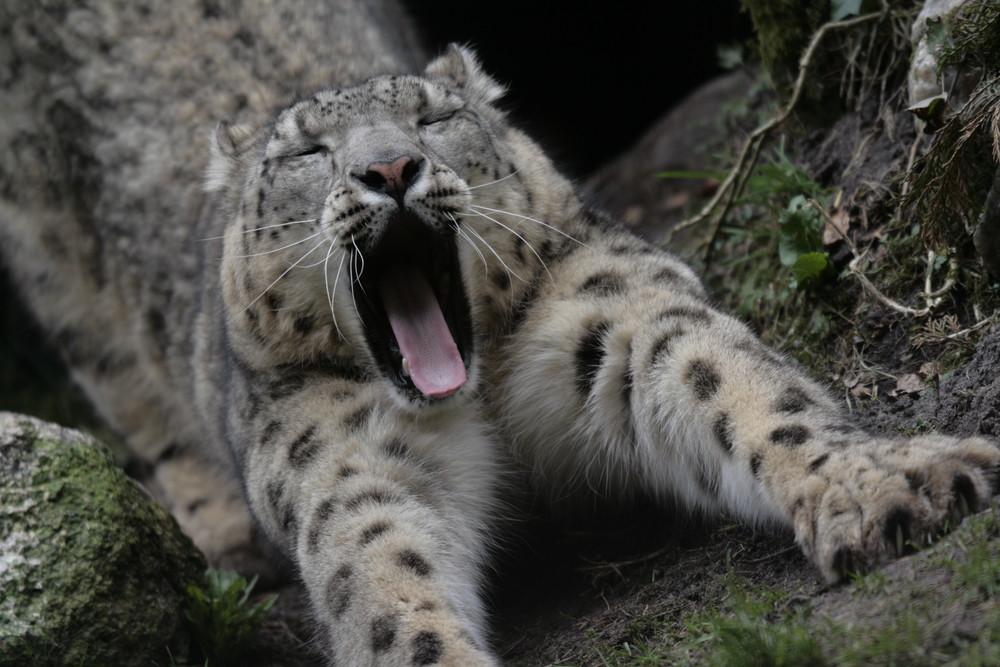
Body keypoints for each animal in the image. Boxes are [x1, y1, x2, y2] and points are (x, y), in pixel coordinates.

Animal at [0, 1, 996, 667]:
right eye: (306, 153)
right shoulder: (345, 459)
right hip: (49, 257)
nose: (389, 166)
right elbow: (383, 571)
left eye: (434, 116)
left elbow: (738, 385)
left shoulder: (617, 311)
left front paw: (889, 487)